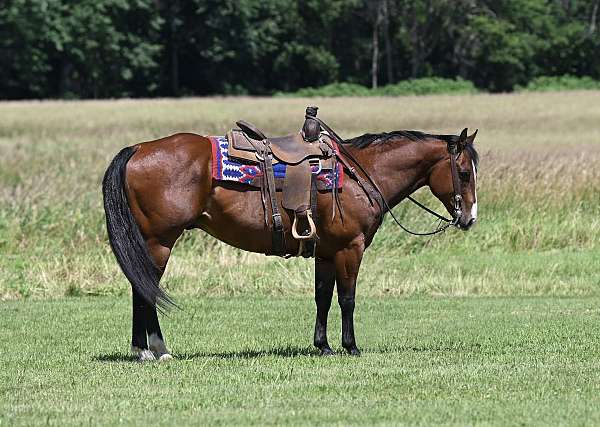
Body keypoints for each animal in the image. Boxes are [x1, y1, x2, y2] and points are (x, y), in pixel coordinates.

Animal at [102, 126, 478, 362]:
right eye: (463, 172)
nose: (470, 218)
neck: (362, 174)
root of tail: (140, 149)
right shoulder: (350, 248)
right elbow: (347, 299)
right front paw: (351, 347)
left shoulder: (326, 252)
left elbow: (323, 298)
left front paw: (323, 346)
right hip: (159, 242)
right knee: (146, 288)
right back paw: (158, 349)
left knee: (140, 286)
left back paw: (143, 349)